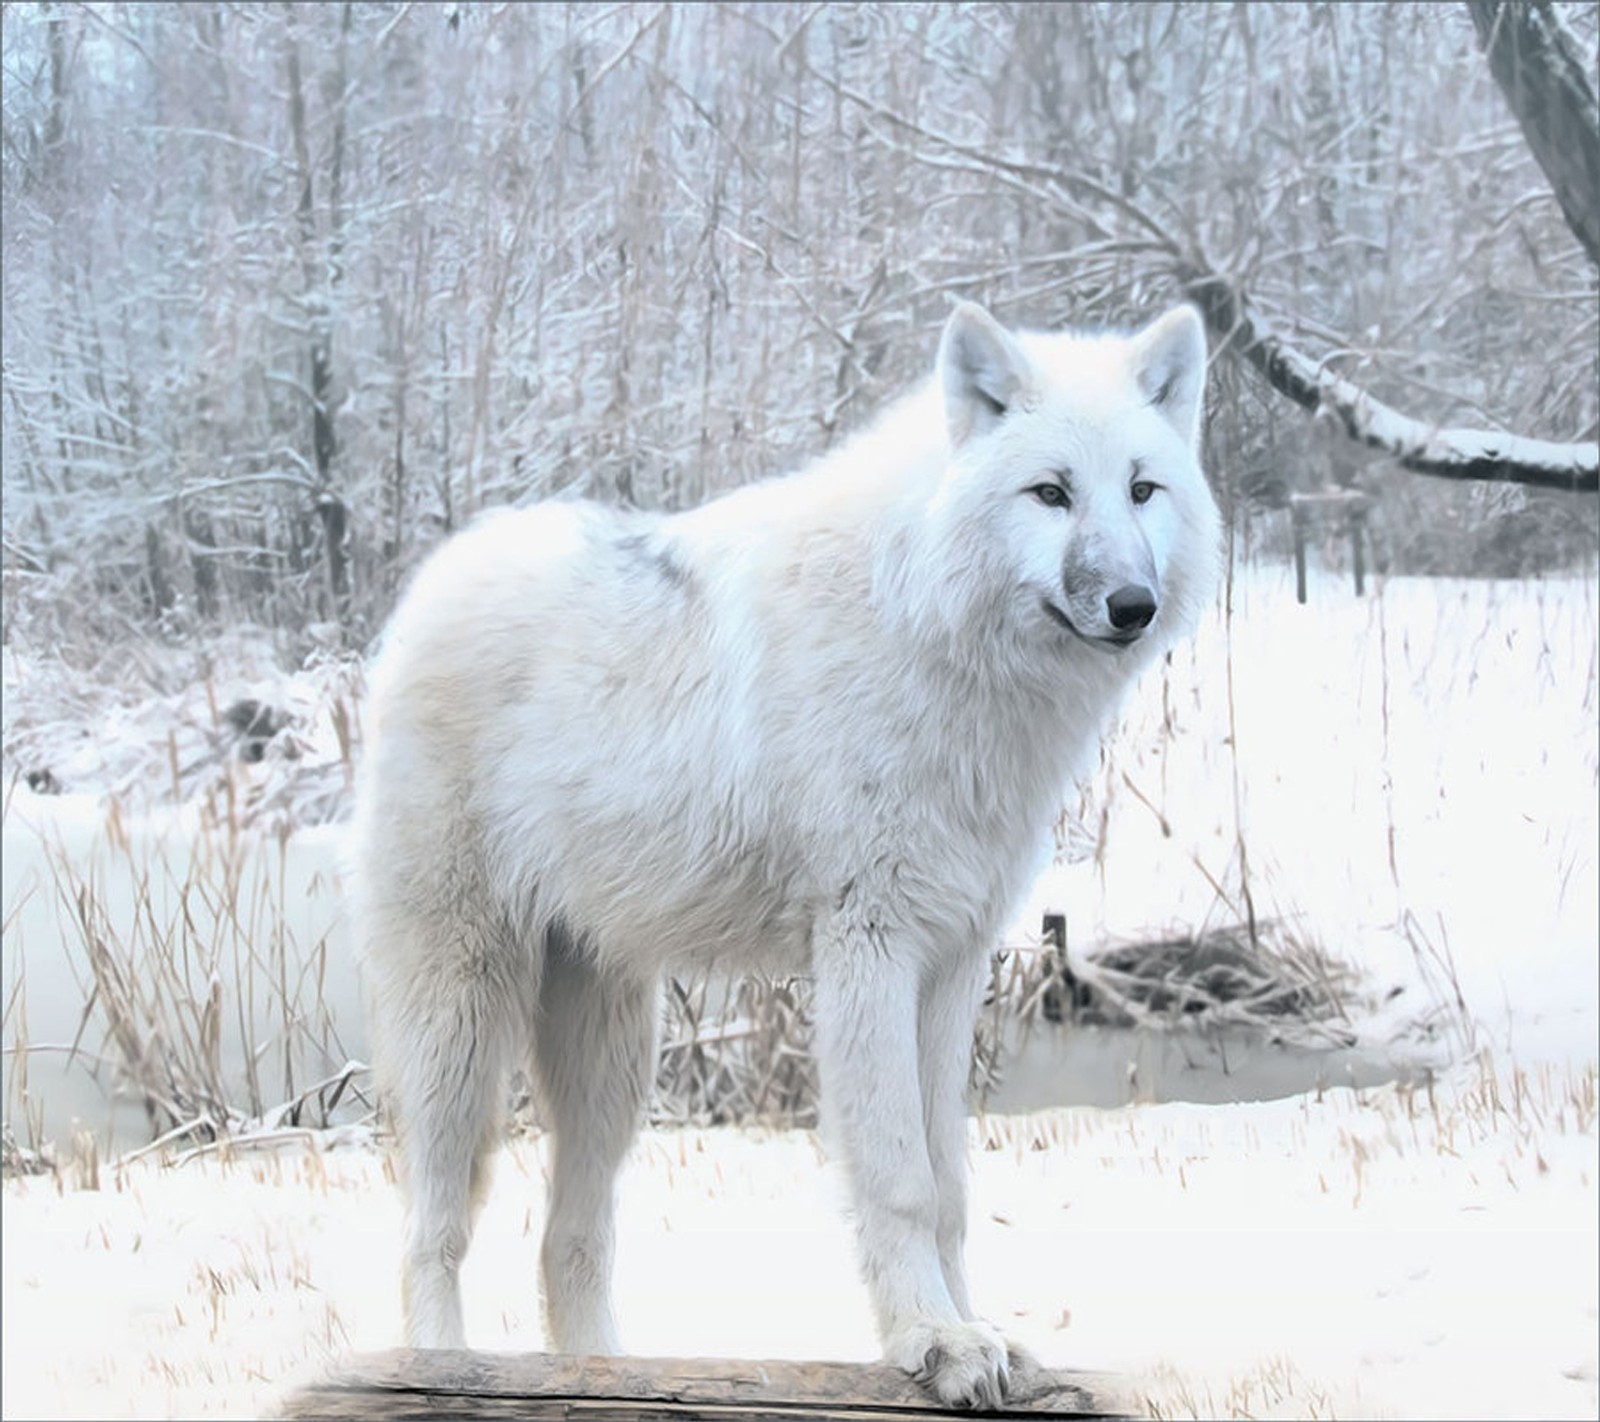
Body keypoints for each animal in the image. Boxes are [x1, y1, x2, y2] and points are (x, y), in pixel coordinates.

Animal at [356, 294, 1216, 1401]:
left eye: (1142, 489)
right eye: (1051, 494)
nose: (1131, 607)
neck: (927, 636)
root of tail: (430, 582)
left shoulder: (952, 966)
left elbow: (950, 1185)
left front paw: (979, 1332)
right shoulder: (868, 952)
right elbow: (899, 1180)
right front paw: (933, 1344)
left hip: (613, 1064)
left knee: (569, 1241)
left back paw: (605, 1373)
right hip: (463, 1026)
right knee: (430, 1225)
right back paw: (440, 1366)